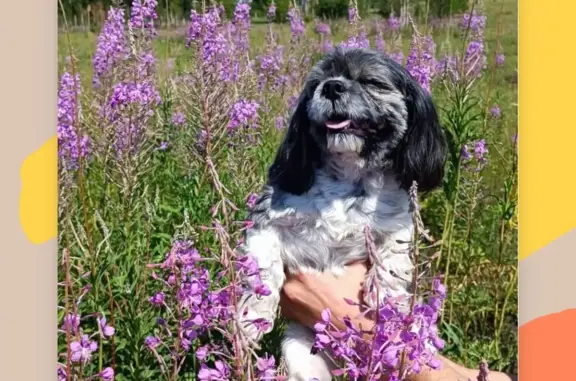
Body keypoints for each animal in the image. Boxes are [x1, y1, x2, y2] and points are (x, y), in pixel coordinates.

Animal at [236, 47, 448, 380]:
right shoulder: (265, 221)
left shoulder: (399, 225)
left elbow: (394, 257)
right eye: (316, 84)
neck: (349, 177)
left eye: (372, 82)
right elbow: (262, 269)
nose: (332, 86)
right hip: (301, 353)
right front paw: (253, 317)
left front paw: (383, 295)